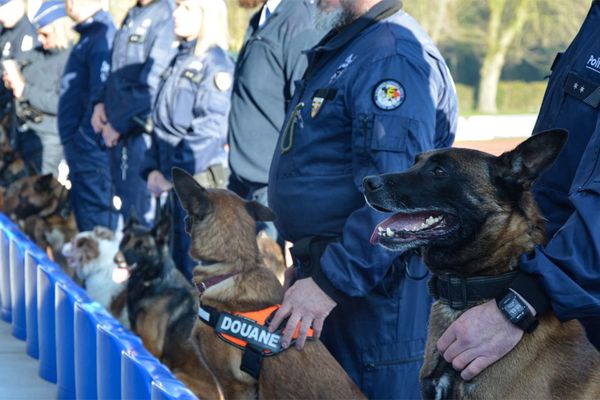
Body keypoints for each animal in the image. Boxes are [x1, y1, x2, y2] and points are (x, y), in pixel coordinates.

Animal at [110, 214, 223, 398]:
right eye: (124, 240)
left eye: (141, 247)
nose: (117, 259)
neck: (154, 282)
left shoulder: (150, 346)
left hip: (178, 373)